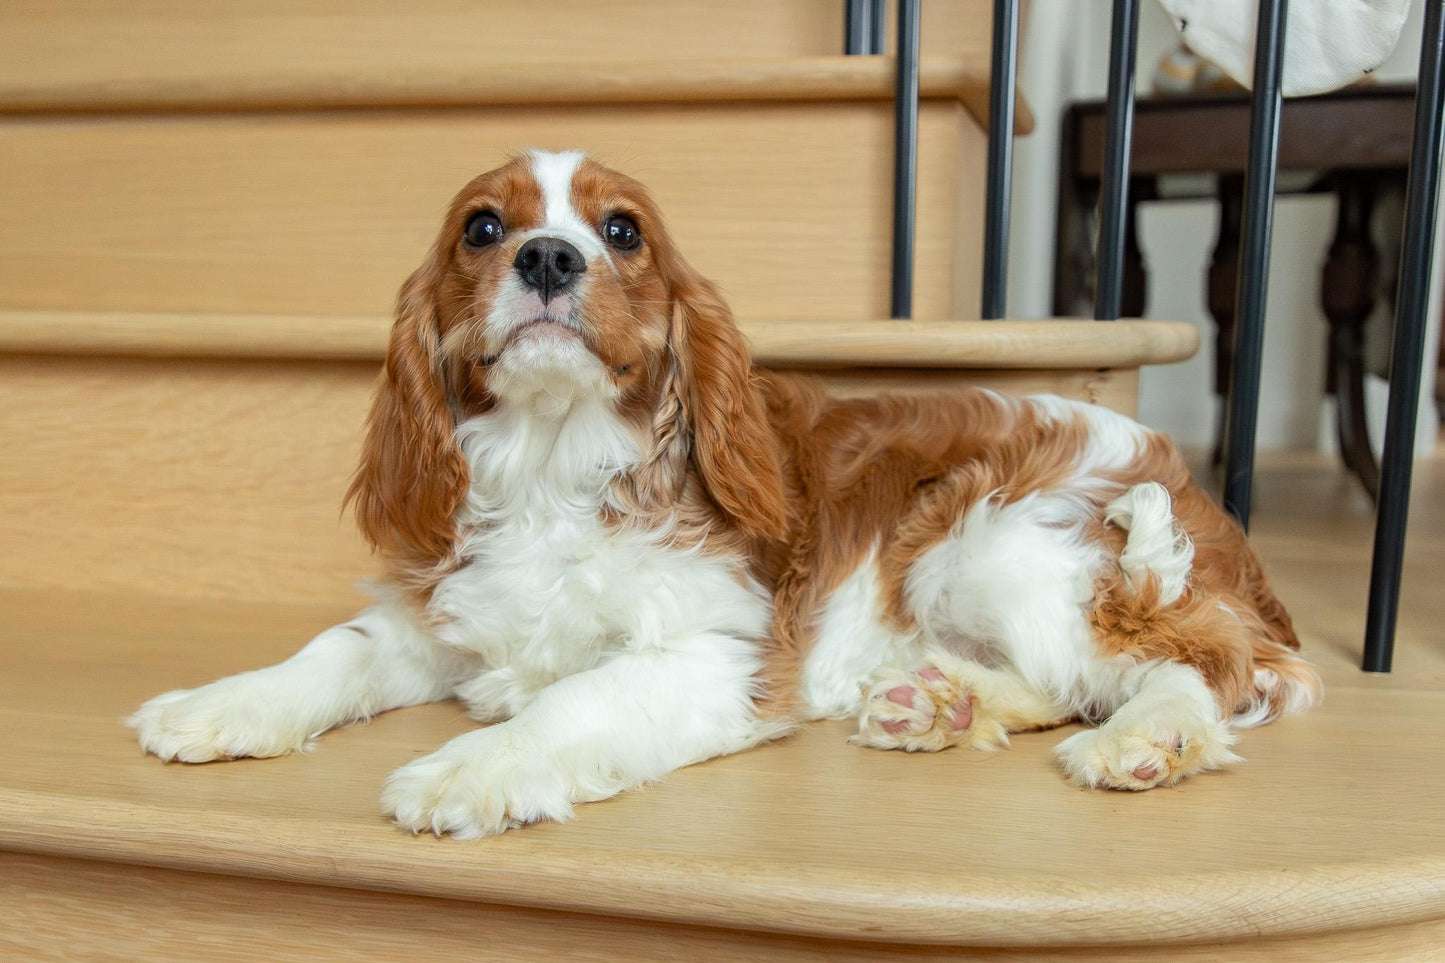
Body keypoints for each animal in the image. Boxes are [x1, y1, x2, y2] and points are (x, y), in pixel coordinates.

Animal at [127, 150, 1323, 832]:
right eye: (483, 227)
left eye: (620, 231)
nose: (549, 258)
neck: (555, 467)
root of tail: (1209, 509)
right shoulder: (439, 612)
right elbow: (335, 651)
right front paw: (221, 704)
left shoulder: (718, 652)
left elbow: (573, 697)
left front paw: (468, 770)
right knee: (1068, 680)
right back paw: (937, 703)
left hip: (997, 544)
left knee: (1191, 669)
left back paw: (1144, 742)